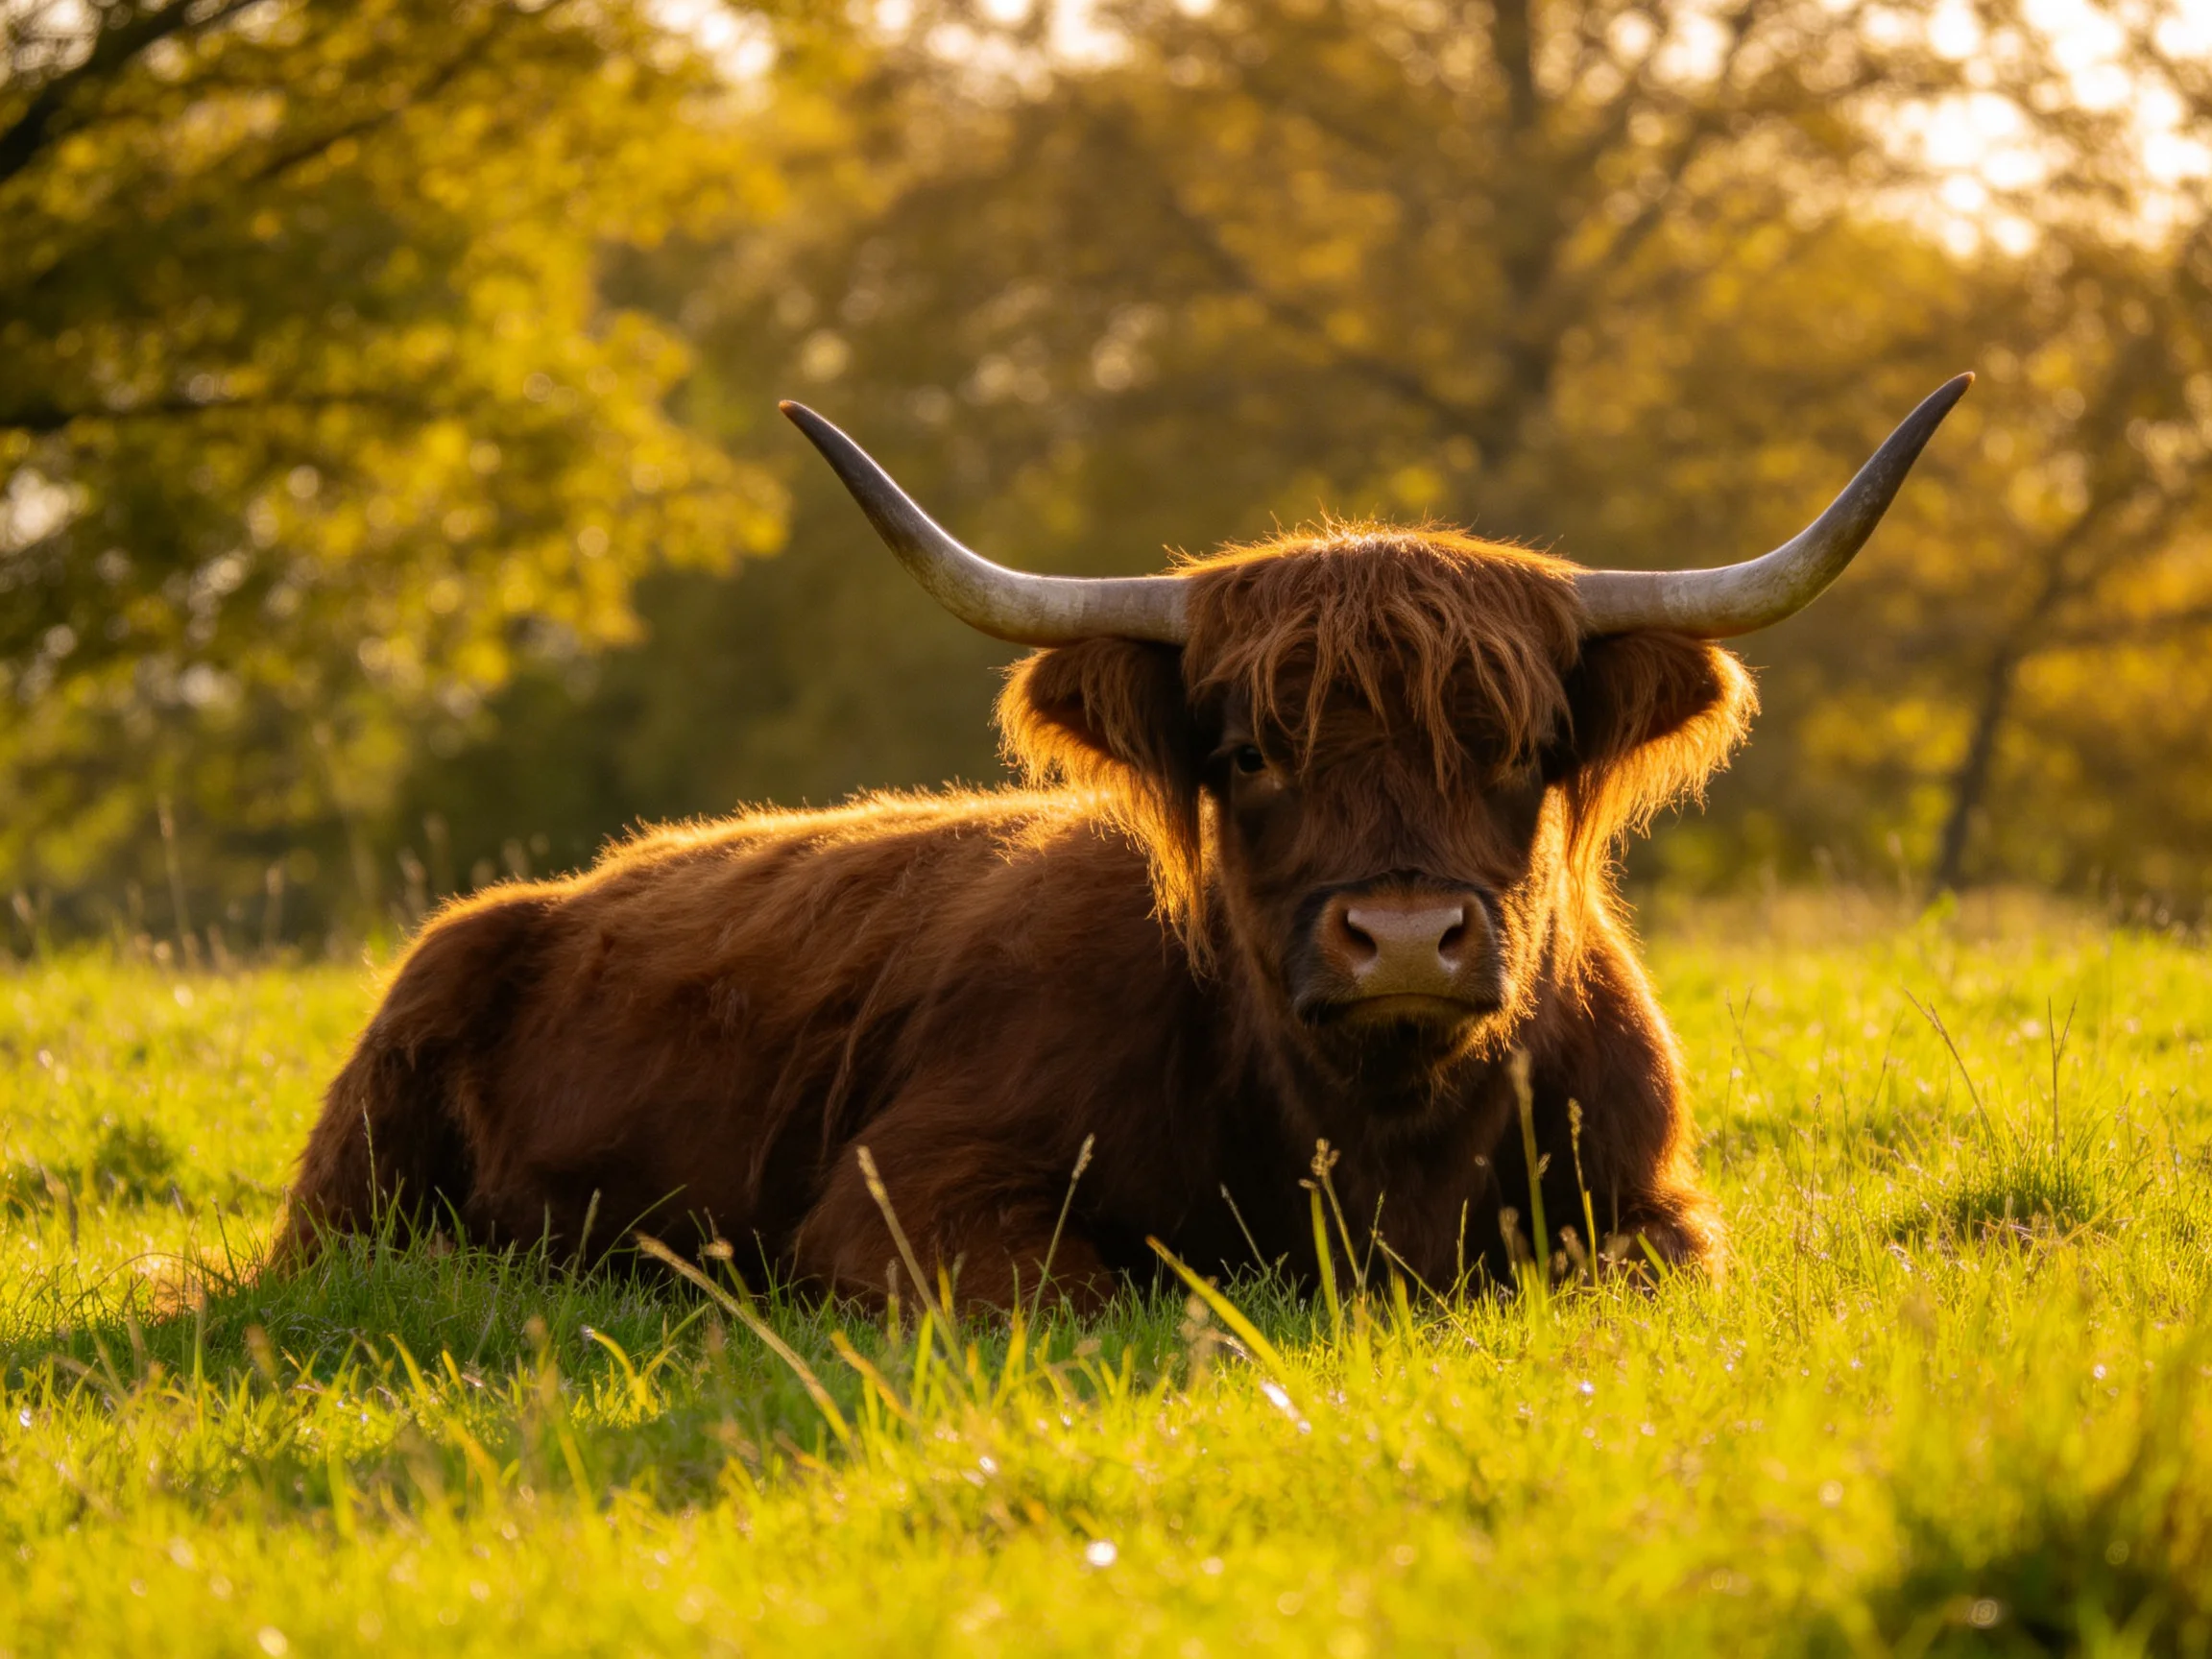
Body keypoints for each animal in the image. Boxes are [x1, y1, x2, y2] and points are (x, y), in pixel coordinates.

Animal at [281, 375, 1971, 1310]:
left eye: (1515, 745)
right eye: (1248, 752)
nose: (1405, 937)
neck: (1381, 1146)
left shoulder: (1653, 1209)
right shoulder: (910, 1190)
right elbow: (1086, 1290)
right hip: (357, 1188)